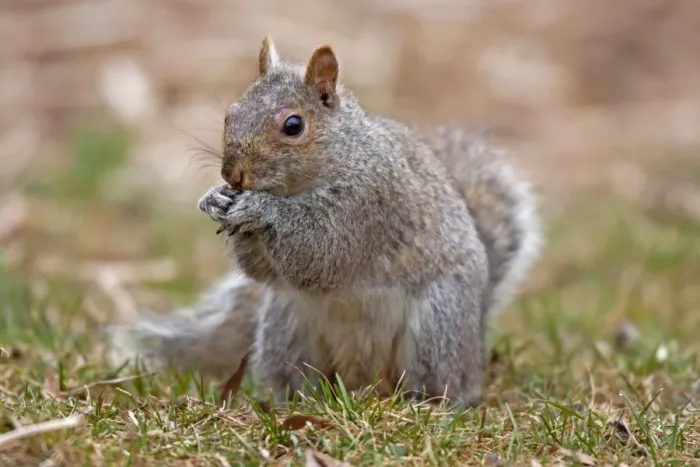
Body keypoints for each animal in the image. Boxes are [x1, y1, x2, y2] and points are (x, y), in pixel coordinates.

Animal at [109, 36, 542, 408]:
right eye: (230, 114)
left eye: (293, 125)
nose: (234, 175)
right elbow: (264, 269)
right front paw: (215, 199)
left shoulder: (367, 205)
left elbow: (320, 253)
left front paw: (260, 209)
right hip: (286, 330)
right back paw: (289, 401)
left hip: (439, 326)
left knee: (441, 381)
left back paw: (429, 404)